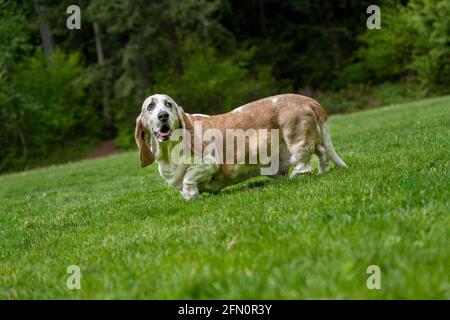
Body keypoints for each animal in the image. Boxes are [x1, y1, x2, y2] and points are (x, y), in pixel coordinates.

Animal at [135, 93, 346, 200]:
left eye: (168, 104)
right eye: (150, 106)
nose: (163, 115)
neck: (169, 150)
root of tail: (306, 99)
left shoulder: (209, 163)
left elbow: (189, 178)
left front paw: (192, 195)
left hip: (296, 138)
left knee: (304, 164)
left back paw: (294, 177)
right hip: (314, 138)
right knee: (321, 153)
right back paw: (323, 171)